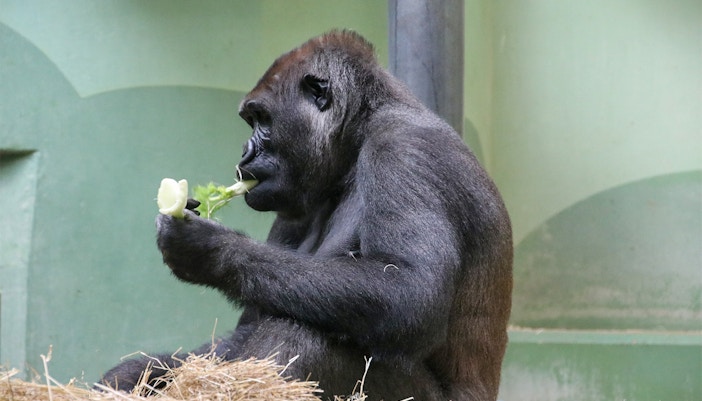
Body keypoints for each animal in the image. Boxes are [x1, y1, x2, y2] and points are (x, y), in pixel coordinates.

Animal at [100, 30, 512, 401]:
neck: (358, 136)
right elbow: (248, 323)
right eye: (251, 121)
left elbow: (410, 290)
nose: (244, 151)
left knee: (299, 336)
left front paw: (212, 249)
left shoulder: (405, 151)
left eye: (261, 119)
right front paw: (140, 372)